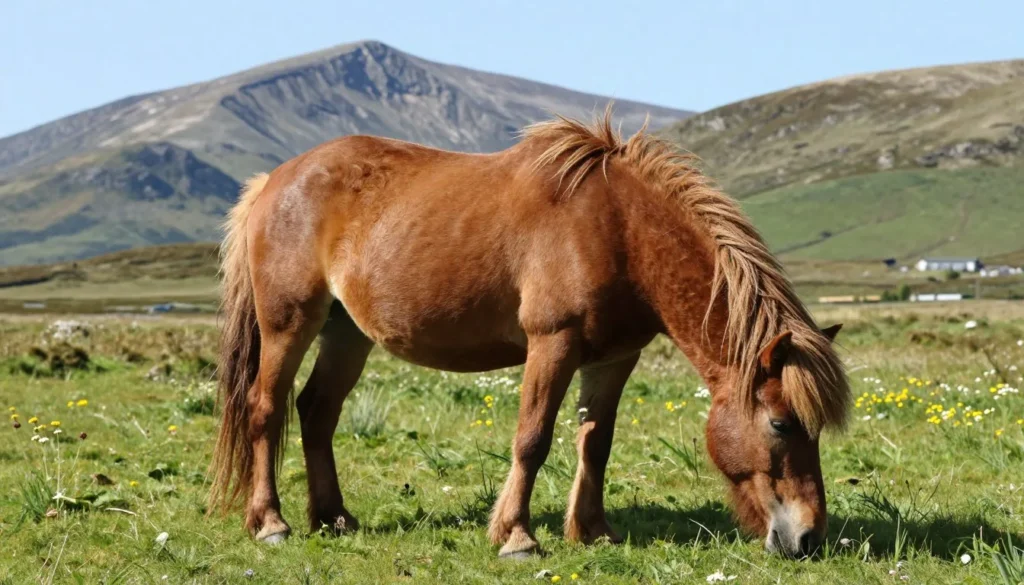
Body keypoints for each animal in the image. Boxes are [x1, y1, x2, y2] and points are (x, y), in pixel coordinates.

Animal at [209, 106, 850, 559]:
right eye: (780, 424)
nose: (809, 538)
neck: (618, 229)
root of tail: (273, 180)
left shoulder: (615, 358)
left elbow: (596, 442)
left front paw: (593, 531)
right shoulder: (553, 343)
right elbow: (533, 439)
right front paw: (516, 536)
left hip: (347, 334)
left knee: (317, 412)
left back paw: (335, 518)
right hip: (289, 322)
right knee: (266, 408)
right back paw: (271, 524)